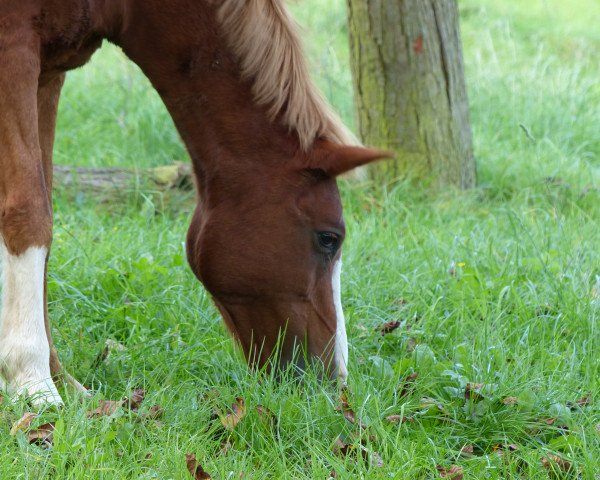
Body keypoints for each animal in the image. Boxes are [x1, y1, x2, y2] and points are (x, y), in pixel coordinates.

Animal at [0, 0, 390, 404]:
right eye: (329, 239)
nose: (335, 381)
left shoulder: (50, 69)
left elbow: (44, 210)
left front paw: (64, 384)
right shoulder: (15, 45)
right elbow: (29, 212)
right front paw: (34, 384)